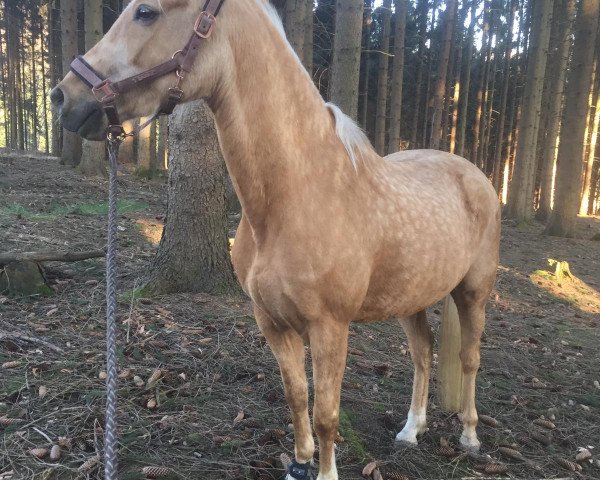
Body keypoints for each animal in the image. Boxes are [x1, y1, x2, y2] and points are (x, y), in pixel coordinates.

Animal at [52, 1, 502, 478]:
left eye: (145, 12)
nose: (63, 97)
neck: (295, 195)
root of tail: (474, 174)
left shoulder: (329, 327)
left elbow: (326, 413)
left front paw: (325, 471)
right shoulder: (272, 321)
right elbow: (296, 396)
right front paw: (300, 464)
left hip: (473, 293)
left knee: (469, 358)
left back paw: (469, 436)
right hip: (411, 297)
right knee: (422, 352)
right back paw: (411, 430)